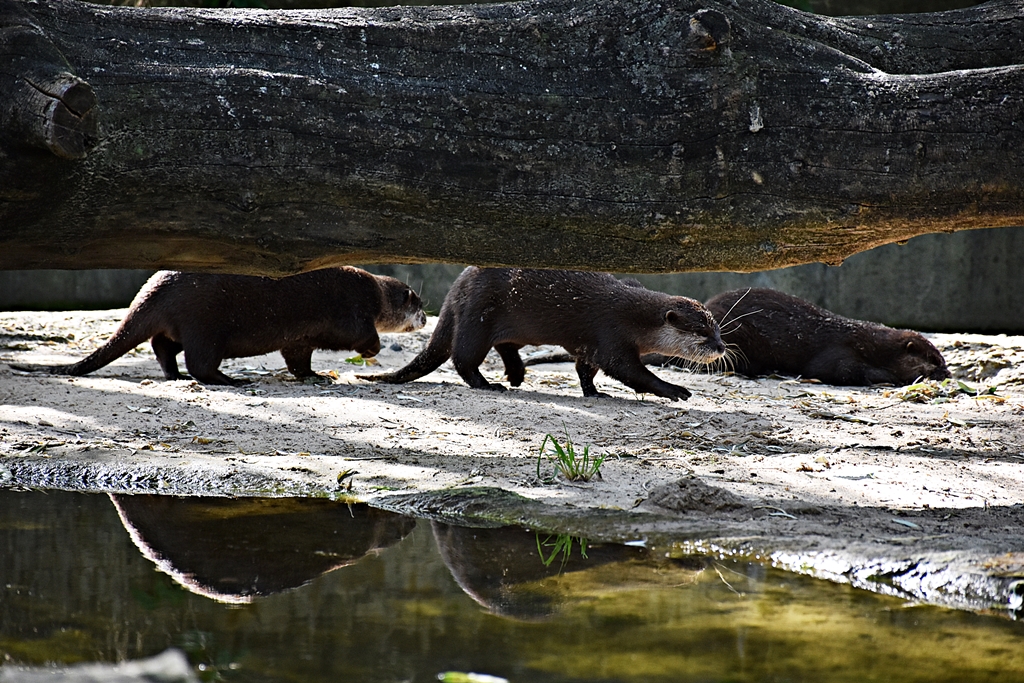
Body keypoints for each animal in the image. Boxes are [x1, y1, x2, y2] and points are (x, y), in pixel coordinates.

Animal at [10, 267, 425, 386]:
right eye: (419, 305)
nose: (425, 319)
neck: (373, 295)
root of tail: (154, 287)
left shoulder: (298, 338)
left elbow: (297, 358)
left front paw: (315, 376)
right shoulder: (349, 312)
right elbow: (358, 335)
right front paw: (372, 349)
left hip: (182, 326)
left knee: (163, 346)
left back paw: (174, 376)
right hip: (205, 324)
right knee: (200, 362)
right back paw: (230, 380)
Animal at [358, 267, 725, 400]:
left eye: (717, 328)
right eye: (701, 331)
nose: (722, 348)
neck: (635, 317)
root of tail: (457, 287)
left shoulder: (589, 345)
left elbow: (584, 369)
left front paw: (594, 393)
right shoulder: (610, 335)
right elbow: (629, 371)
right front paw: (675, 390)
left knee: (506, 346)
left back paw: (516, 374)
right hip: (478, 315)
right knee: (463, 358)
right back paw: (489, 384)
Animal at [704, 288, 950, 386]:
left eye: (943, 361)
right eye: (934, 361)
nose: (947, 373)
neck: (875, 349)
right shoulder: (842, 350)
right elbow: (838, 371)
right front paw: (887, 376)